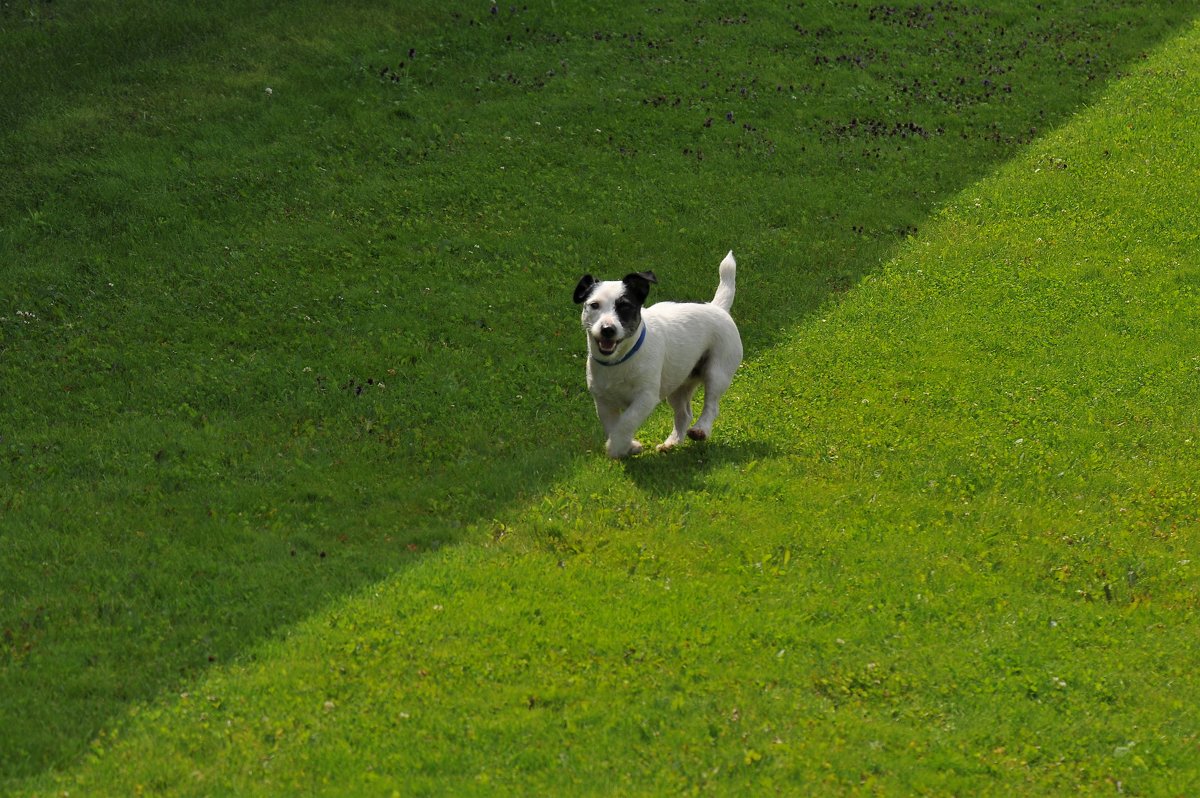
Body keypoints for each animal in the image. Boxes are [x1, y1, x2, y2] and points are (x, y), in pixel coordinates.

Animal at [571, 252, 739, 458]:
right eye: (594, 305)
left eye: (625, 306)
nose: (607, 329)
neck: (620, 360)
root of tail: (718, 307)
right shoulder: (603, 402)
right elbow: (613, 426)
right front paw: (629, 446)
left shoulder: (646, 397)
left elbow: (627, 421)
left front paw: (617, 447)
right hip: (678, 384)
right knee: (684, 414)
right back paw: (672, 442)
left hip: (718, 372)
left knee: (712, 405)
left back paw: (701, 429)